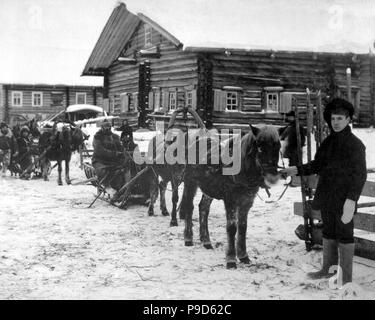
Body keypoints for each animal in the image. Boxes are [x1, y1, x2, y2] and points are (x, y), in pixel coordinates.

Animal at [180, 125, 282, 268]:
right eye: (260, 148)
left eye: (278, 147)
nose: (272, 177)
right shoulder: (230, 200)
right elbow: (232, 227)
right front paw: (231, 259)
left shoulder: (247, 201)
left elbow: (243, 227)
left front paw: (243, 256)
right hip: (190, 182)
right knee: (189, 207)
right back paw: (188, 238)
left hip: (209, 189)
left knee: (203, 208)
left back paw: (206, 241)